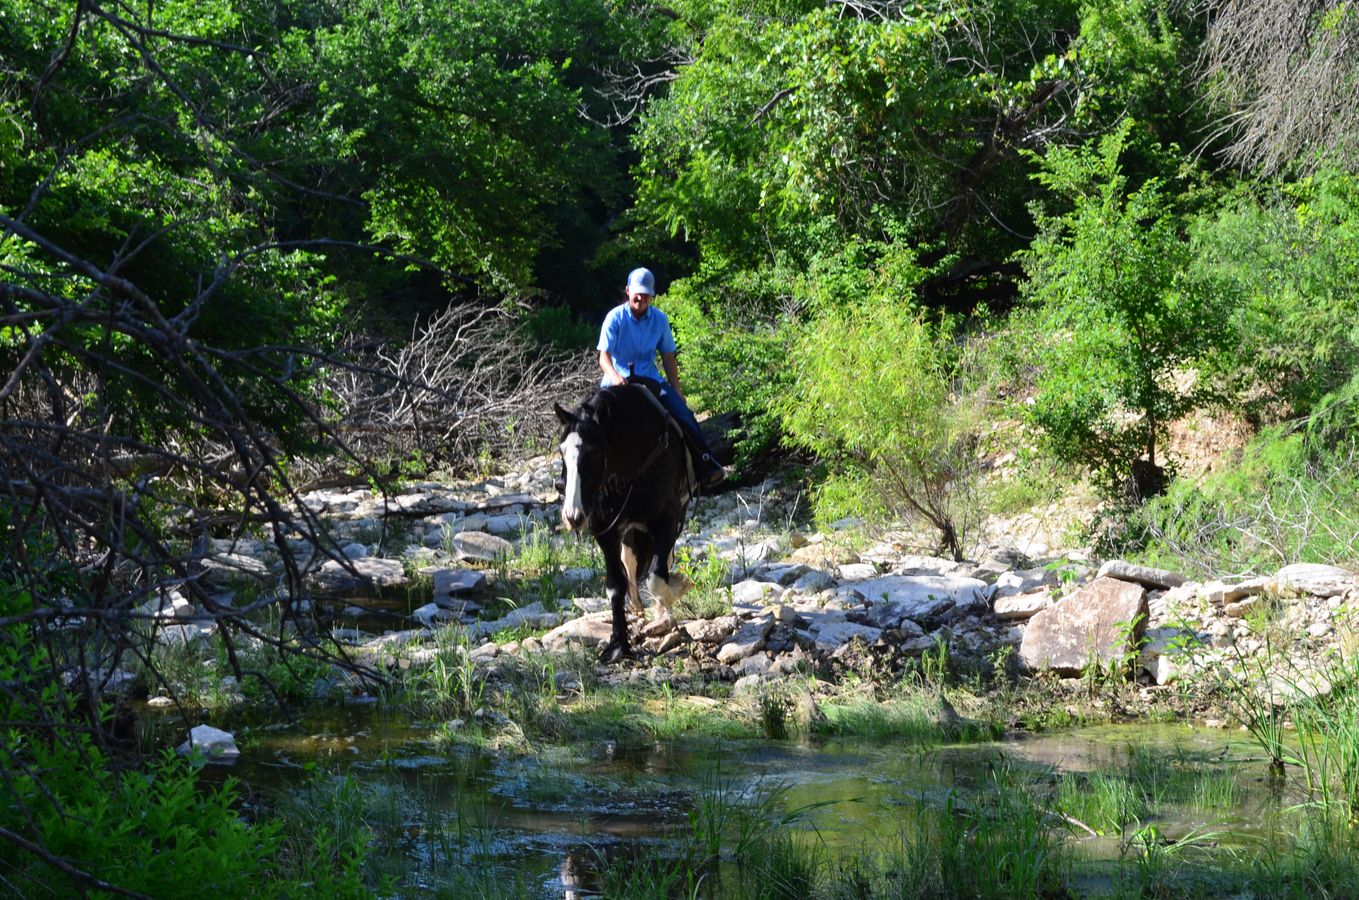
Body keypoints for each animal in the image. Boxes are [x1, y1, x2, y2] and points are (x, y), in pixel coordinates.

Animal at [554, 381, 696, 662]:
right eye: (562, 451)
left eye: (594, 452)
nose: (572, 516)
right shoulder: (606, 532)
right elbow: (615, 586)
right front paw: (618, 644)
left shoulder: (668, 518)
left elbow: (657, 577)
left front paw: (678, 589)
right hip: (630, 532)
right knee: (630, 562)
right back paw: (637, 605)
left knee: (662, 562)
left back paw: (661, 611)